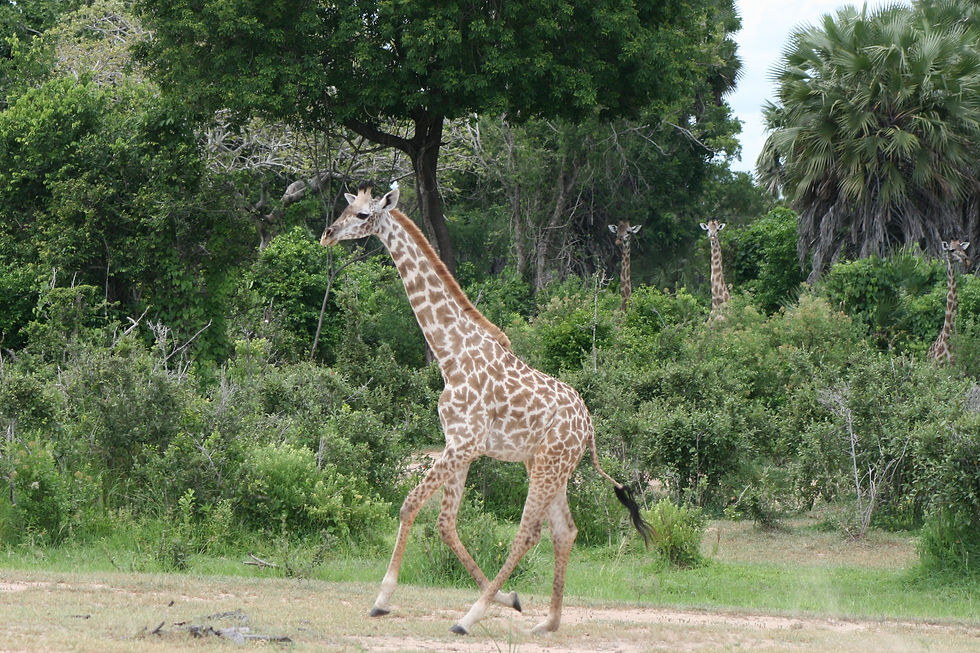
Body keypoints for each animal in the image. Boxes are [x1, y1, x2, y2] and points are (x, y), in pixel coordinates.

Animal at [321, 182, 652, 635]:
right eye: (346, 207)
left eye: (362, 215)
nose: (328, 234)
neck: (450, 354)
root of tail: (589, 428)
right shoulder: (458, 445)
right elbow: (445, 524)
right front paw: (508, 599)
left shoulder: (465, 443)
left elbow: (410, 504)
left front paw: (383, 598)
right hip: (547, 465)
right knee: (564, 531)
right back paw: (547, 623)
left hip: (548, 465)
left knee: (528, 533)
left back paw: (469, 618)